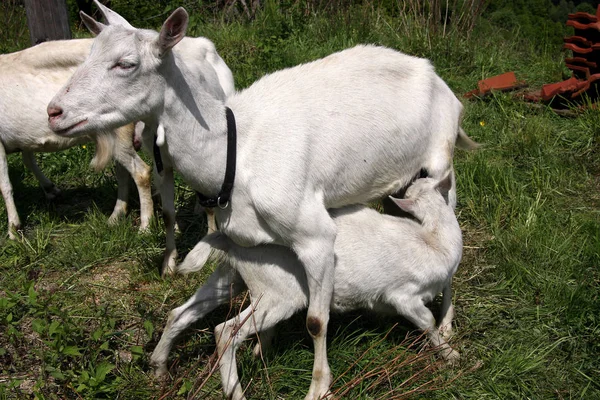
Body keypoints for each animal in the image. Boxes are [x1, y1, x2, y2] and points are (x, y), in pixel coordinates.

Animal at [152, 176, 462, 400]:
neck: (434, 240)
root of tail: (228, 238)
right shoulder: (402, 295)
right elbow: (426, 320)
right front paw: (450, 355)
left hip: (231, 277)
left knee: (180, 313)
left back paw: (159, 367)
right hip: (278, 291)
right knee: (225, 331)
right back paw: (236, 393)